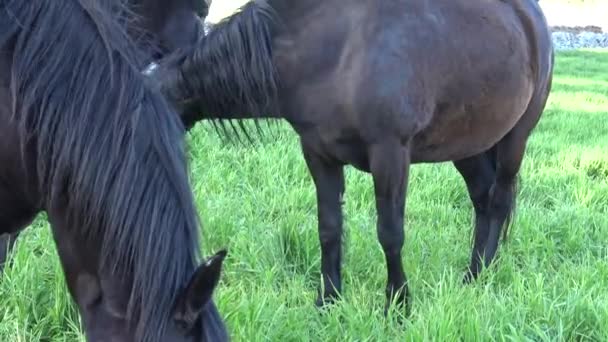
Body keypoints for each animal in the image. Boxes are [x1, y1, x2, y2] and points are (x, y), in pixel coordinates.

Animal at [148, 0, 556, 314]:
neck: (335, 50)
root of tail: (532, 19)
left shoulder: (390, 153)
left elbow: (390, 233)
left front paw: (397, 304)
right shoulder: (318, 155)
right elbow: (329, 228)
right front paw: (328, 301)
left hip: (516, 138)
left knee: (499, 200)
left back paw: (481, 274)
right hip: (467, 145)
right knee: (483, 199)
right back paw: (476, 272)